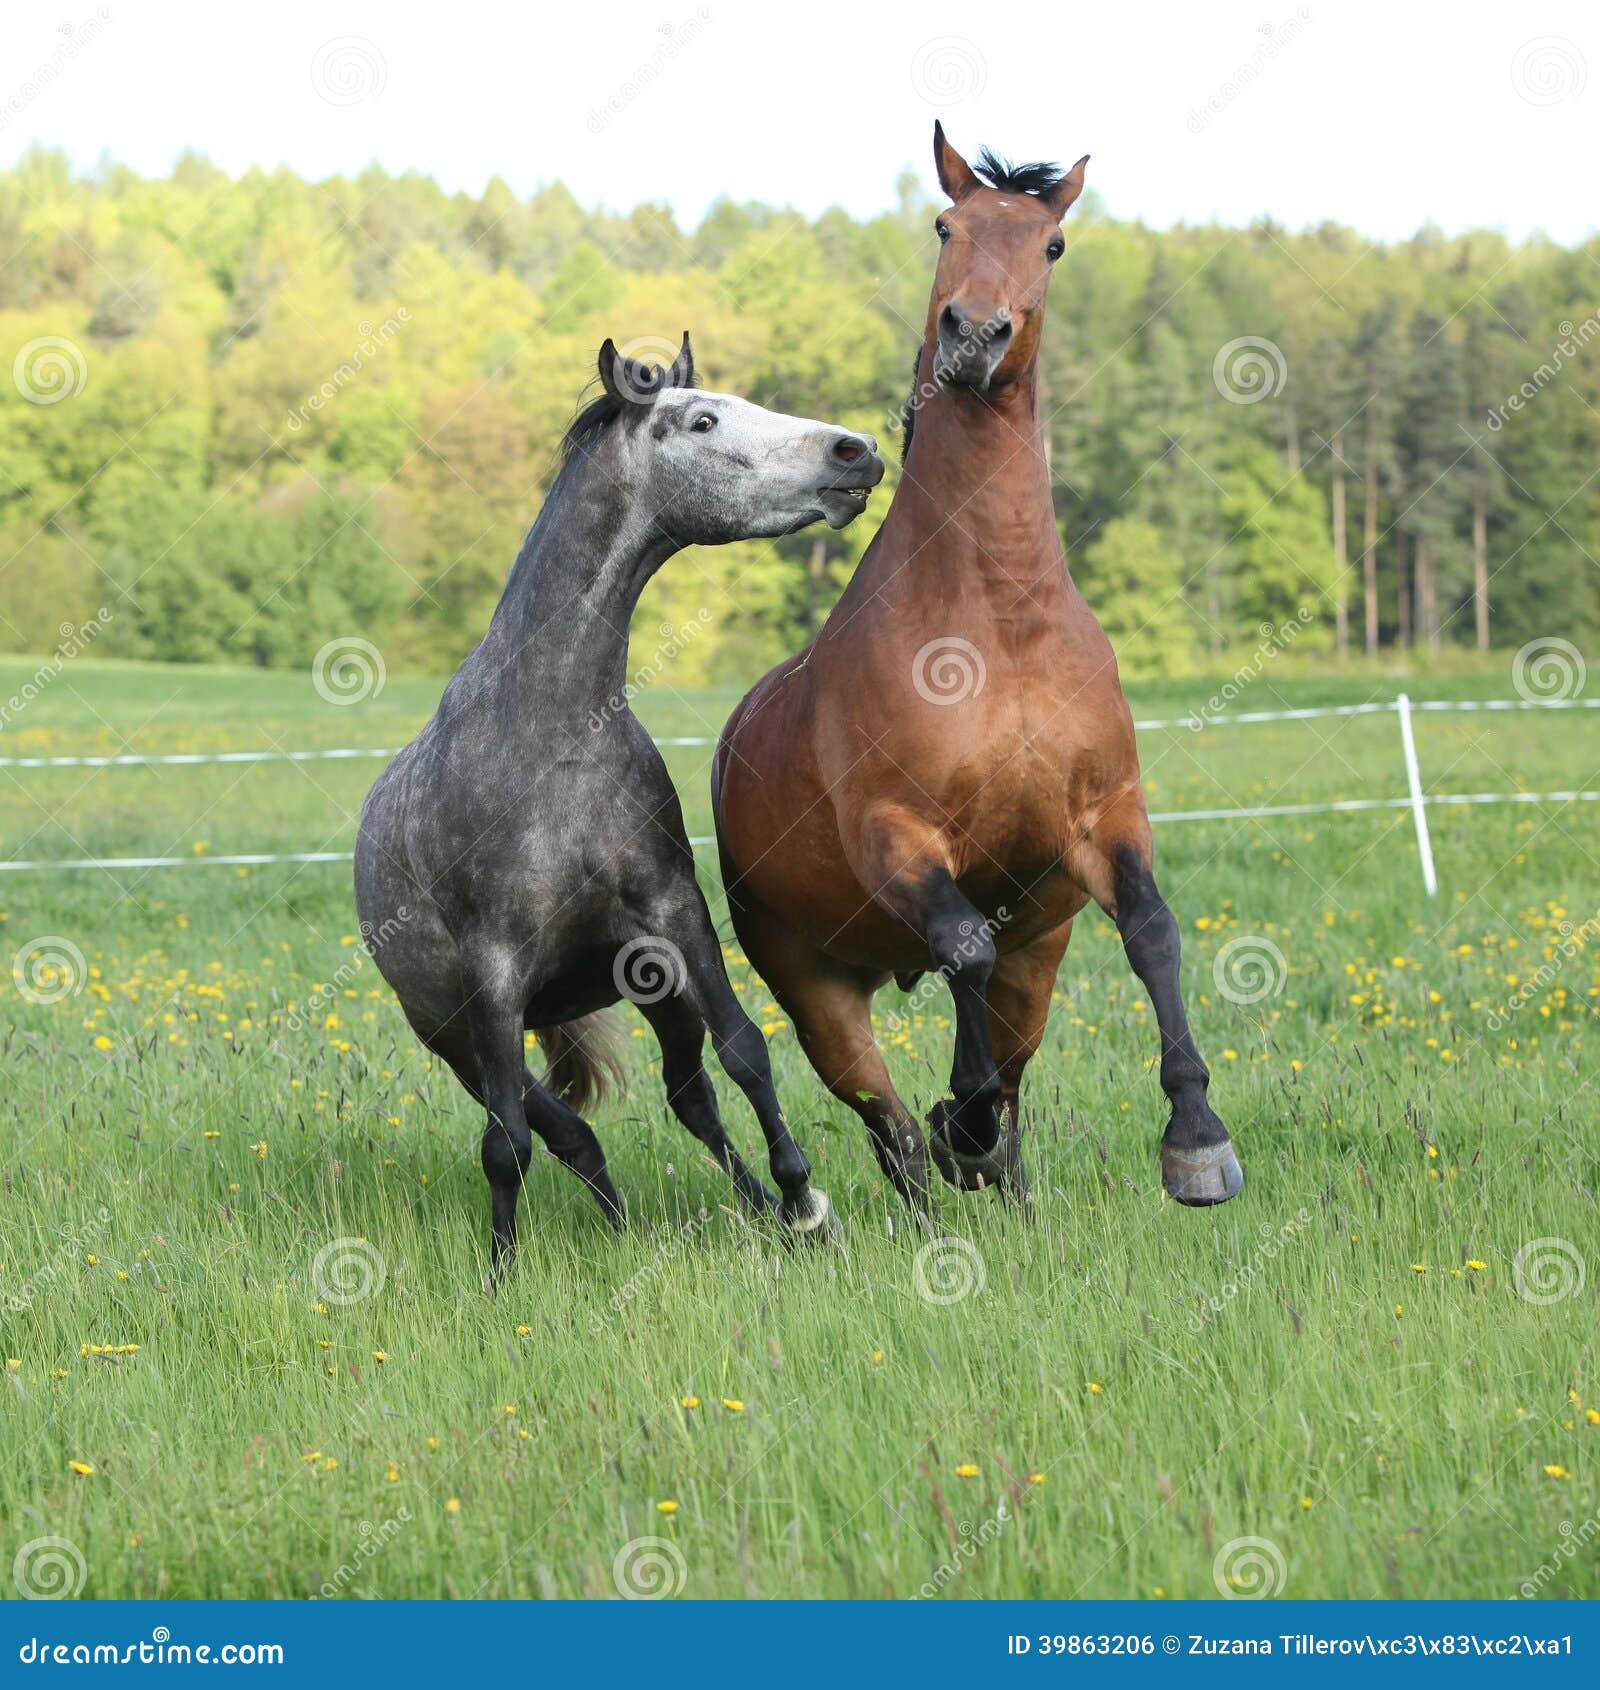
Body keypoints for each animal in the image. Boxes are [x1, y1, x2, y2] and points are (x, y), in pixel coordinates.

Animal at [355, 334, 884, 1282]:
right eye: (703, 421)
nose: (855, 452)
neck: (551, 734)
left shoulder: (673, 920)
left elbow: (745, 1054)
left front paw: (803, 1203)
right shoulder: (492, 978)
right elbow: (507, 1145)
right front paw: (499, 1276)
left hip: (647, 988)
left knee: (686, 1098)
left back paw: (727, 1210)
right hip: (454, 1038)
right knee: (558, 1132)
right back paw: (610, 1226)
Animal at [713, 125, 1242, 1222]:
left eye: (1053, 245)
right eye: (943, 225)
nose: (973, 336)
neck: (998, 626)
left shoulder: (1104, 817)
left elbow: (1155, 932)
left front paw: (1196, 1142)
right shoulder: (898, 836)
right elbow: (961, 947)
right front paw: (965, 1117)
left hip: (1041, 954)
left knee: (1013, 1057)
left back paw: (1005, 1175)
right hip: (813, 986)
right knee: (885, 1119)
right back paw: (942, 1162)